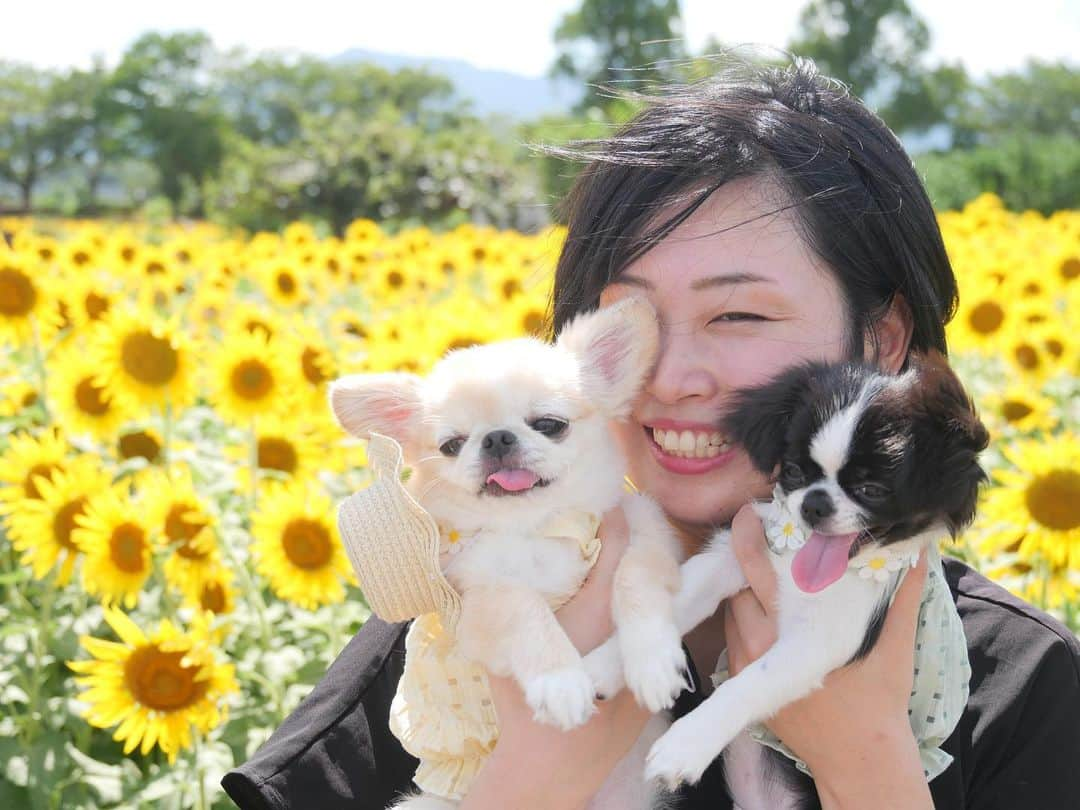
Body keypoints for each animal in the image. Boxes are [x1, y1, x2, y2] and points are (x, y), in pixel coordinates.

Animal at [587, 352, 989, 807]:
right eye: (794, 472)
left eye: (871, 489)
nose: (815, 503)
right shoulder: (731, 557)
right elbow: (679, 602)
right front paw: (617, 663)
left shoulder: (818, 642)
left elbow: (749, 683)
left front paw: (684, 745)